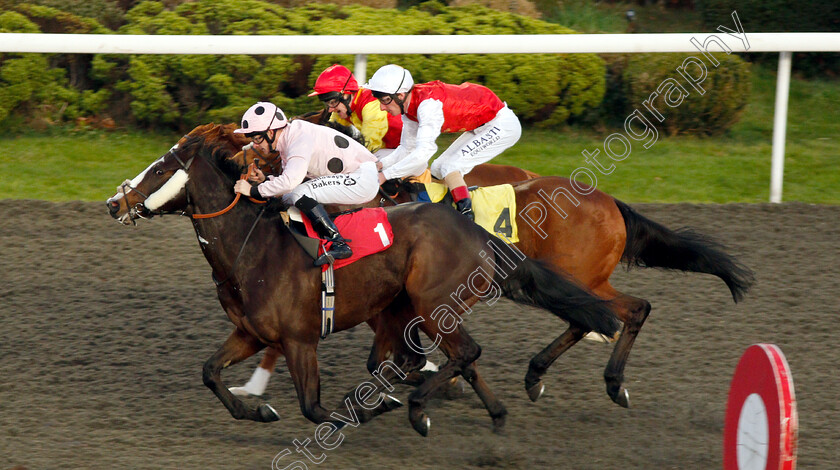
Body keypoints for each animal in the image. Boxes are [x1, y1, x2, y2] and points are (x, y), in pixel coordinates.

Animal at [105, 124, 620, 434]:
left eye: (158, 169)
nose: (114, 203)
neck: (252, 248)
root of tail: (476, 229)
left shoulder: (300, 339)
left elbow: (315, 408)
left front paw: (377, 406)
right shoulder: (252, 332)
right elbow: (210, 372)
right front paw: (258, 408)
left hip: (432, 304)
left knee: (466, 353)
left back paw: (419, 408)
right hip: (412, 307)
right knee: (461, 359)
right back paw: (495, 413)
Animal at [230, 129, 756, 408]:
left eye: (255, 153)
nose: (253, 182)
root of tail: (609, 202)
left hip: (583, 276)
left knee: (626, 310)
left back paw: (603, 380)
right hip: (581, 279)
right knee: (600, 314)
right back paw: (541, 373)